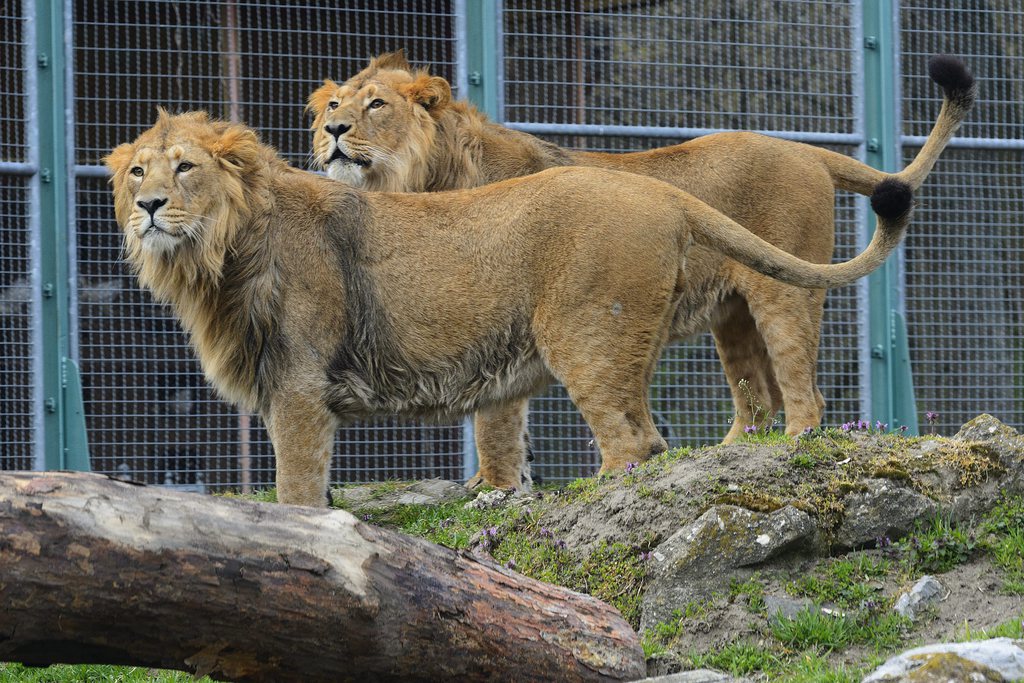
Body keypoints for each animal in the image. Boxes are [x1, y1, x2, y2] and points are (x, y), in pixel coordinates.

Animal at [110, 111, 913, 507]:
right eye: (137, 172)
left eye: (186, 167)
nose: (148, 207)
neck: (214, 256)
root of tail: (659, 191)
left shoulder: (300, 388)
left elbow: (297, 488)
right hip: (634, 341)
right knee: (653, 436)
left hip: (588, 335)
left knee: (632, 444)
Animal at [305, 53, 974, 491]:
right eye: (334, 105)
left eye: (376, 104)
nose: (333, 131)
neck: (421, 176)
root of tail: (804, 148)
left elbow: (493, 420)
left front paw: (490, 491)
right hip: (729, 315)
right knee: (755, 398)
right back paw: (721, 454)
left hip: (783, 293)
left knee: (802, 389)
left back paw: (792, 446)